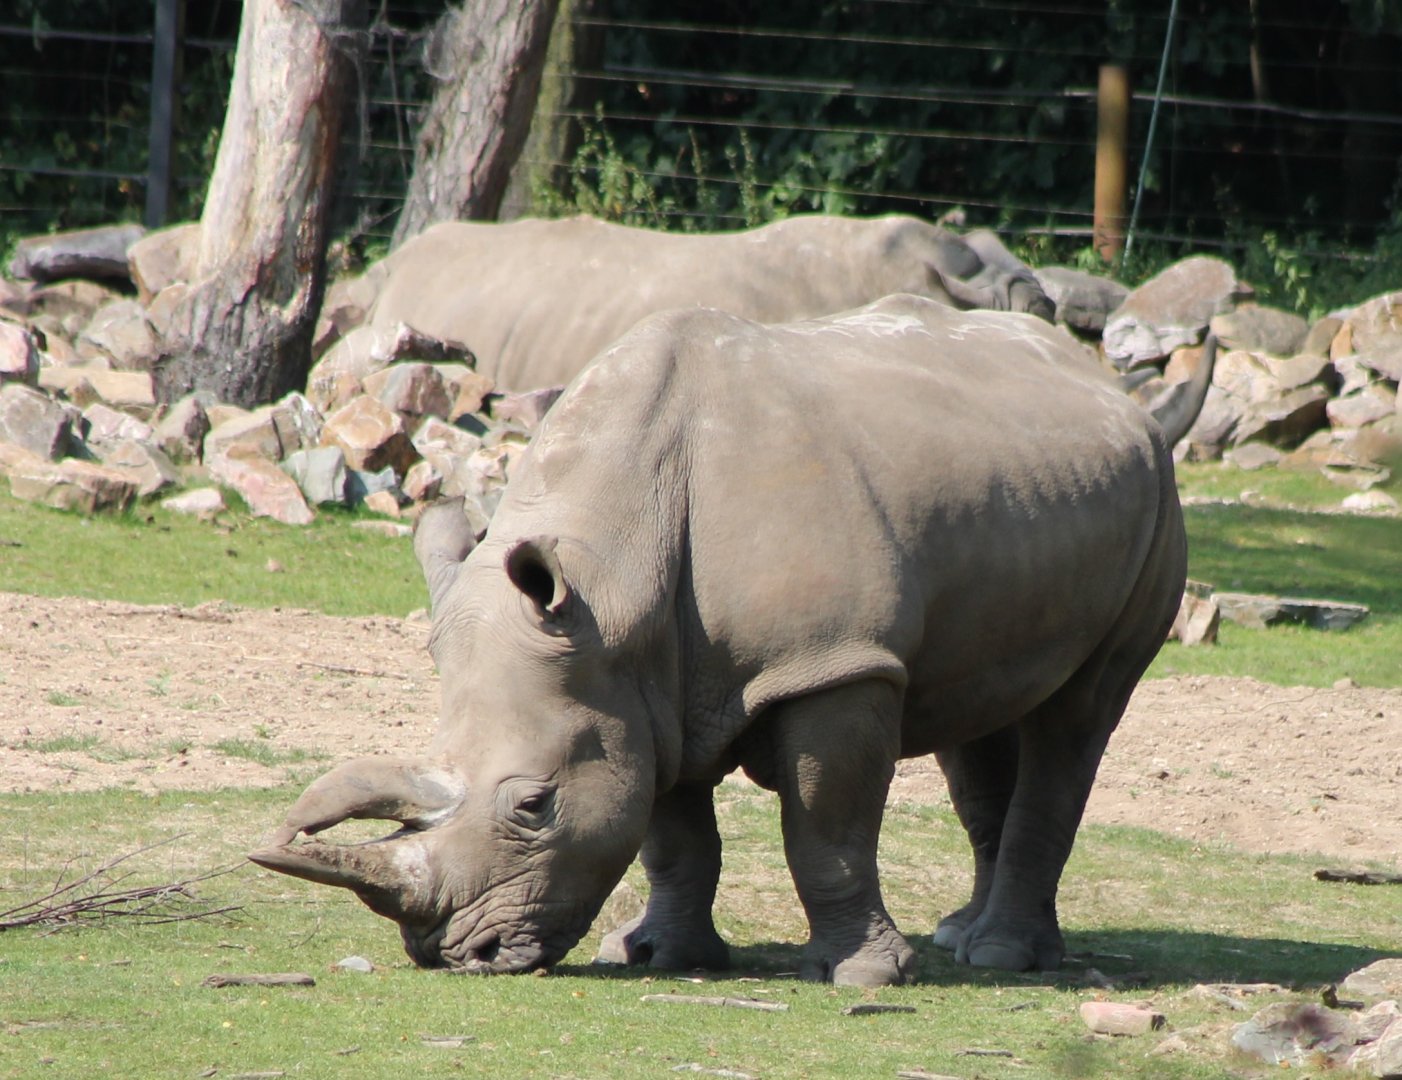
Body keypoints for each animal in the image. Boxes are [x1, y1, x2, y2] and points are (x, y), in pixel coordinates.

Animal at [252, 294, 1190, 986]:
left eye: (534, 806)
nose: (456, 955)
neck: (613, 576)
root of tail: (1107, 385)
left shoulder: (831, 662)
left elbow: (829, 830)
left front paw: (864, 976)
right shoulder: (634, 674)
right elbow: (672, 832)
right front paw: (657, 955)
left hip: (1159, 500)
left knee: (1080, 715)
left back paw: (1000, 956)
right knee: (980, 714)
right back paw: (966, 939)